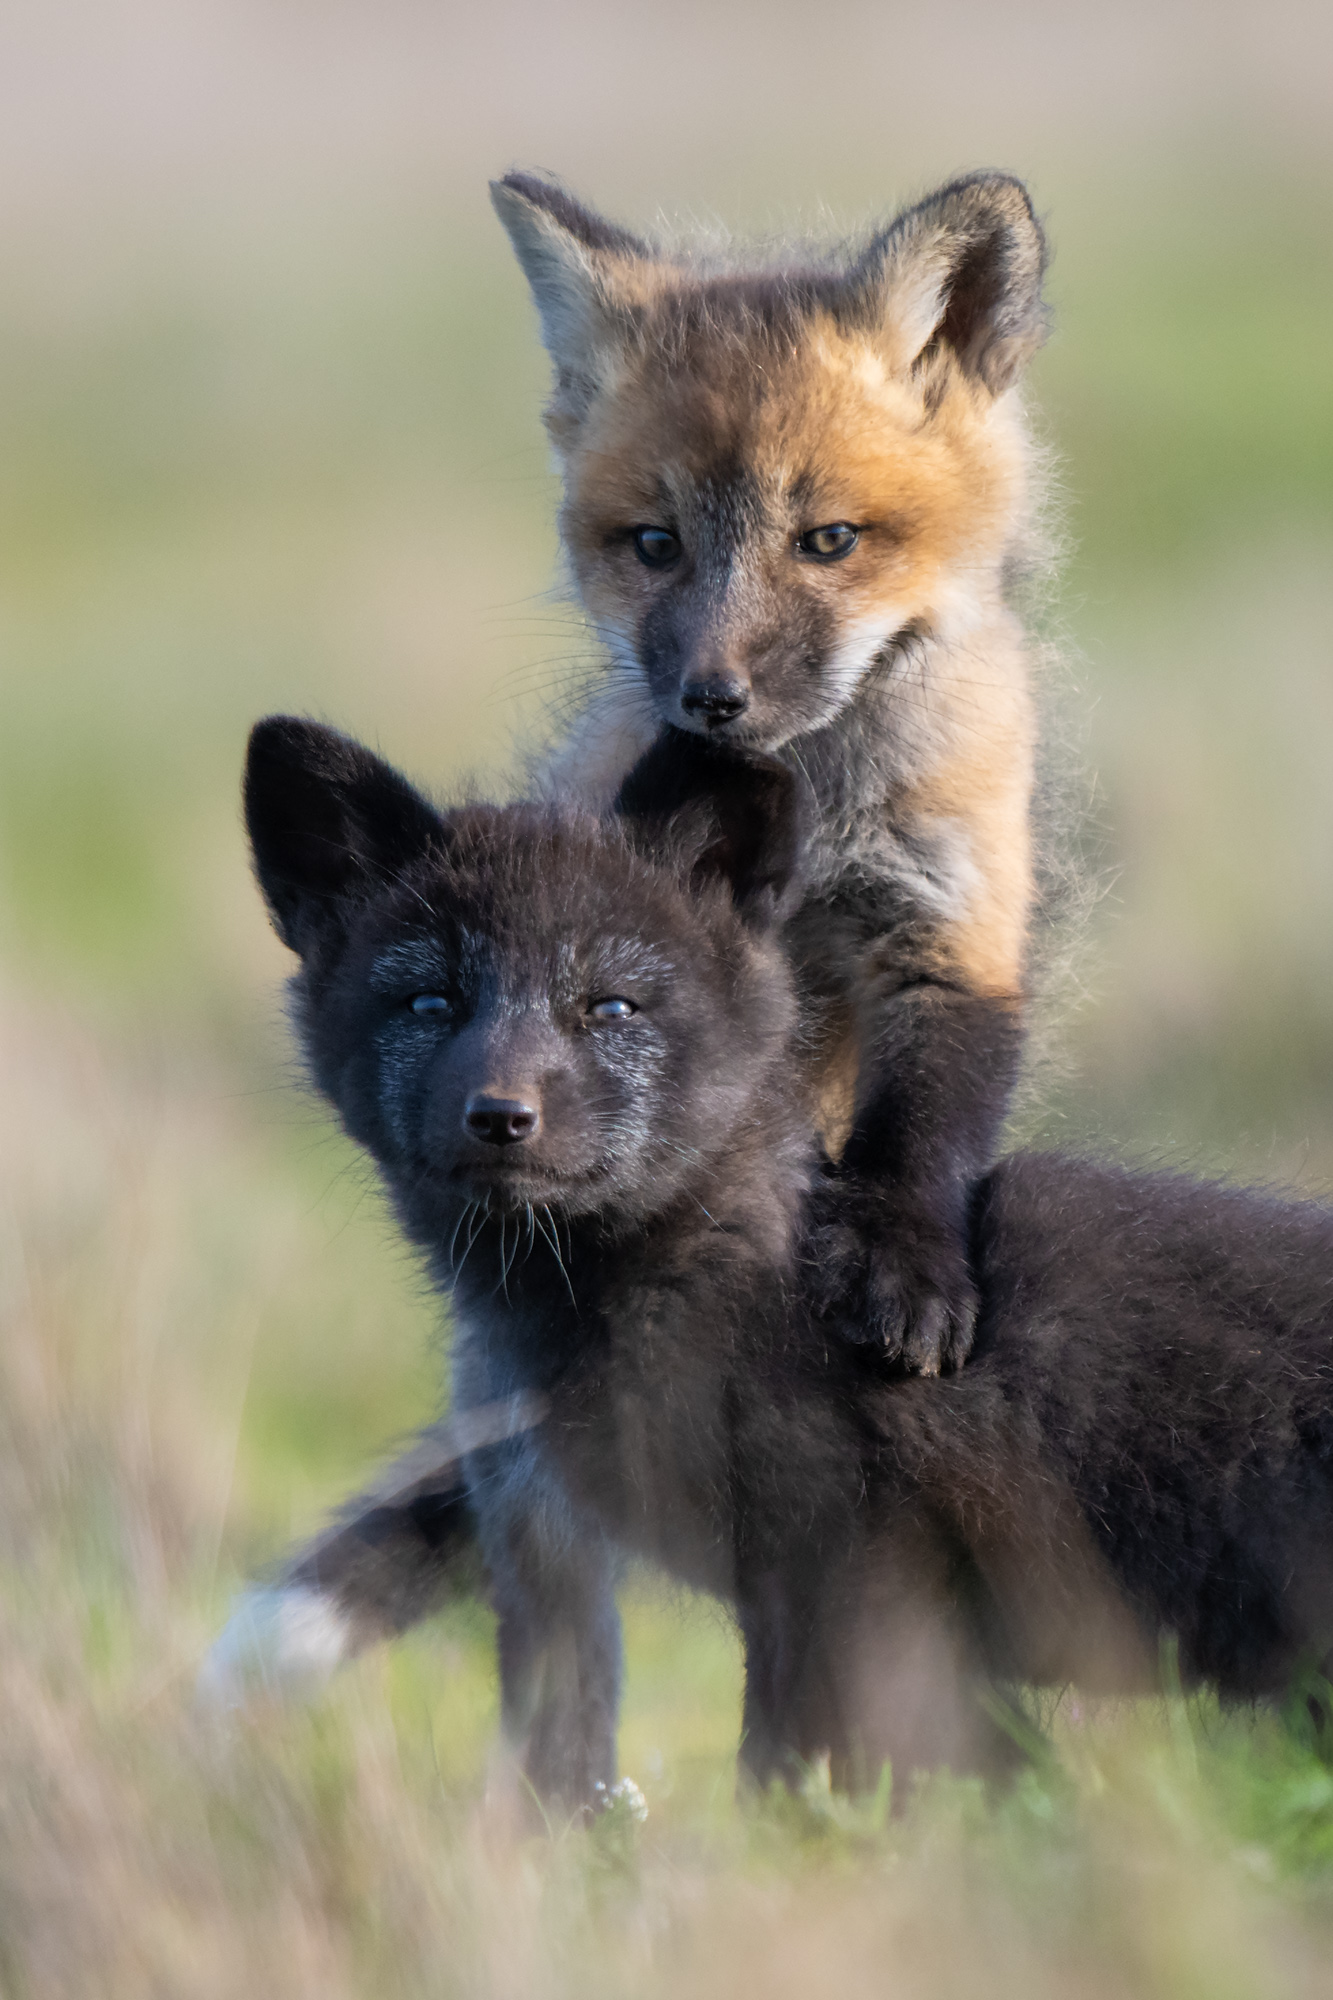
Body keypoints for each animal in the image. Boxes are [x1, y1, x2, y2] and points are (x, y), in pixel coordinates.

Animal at [492, 167, 1056, 1373]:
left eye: (828, 540)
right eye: (655, 545)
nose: (712, 697)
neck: (819, 815)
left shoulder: (947, 924)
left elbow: (918, 1137)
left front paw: (904, 1270)